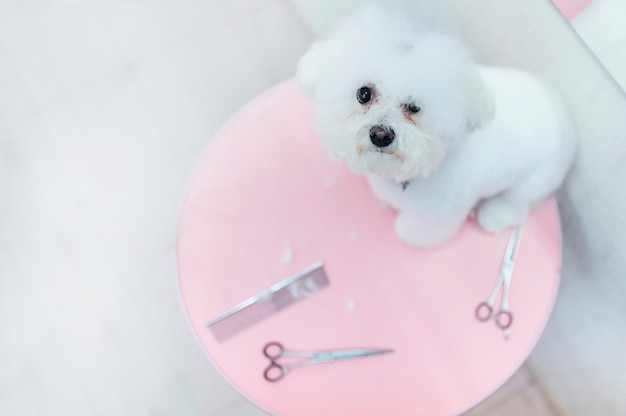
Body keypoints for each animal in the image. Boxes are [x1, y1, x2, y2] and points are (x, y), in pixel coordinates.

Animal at [296, 2, 576, 247]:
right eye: (363, 94)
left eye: (414, 106)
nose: (381, 134)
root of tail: (561, 109)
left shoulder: (437, 218)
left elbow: (419, 231)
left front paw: (405, 231)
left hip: (538, 178)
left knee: (519, 203)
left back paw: (494, 216)